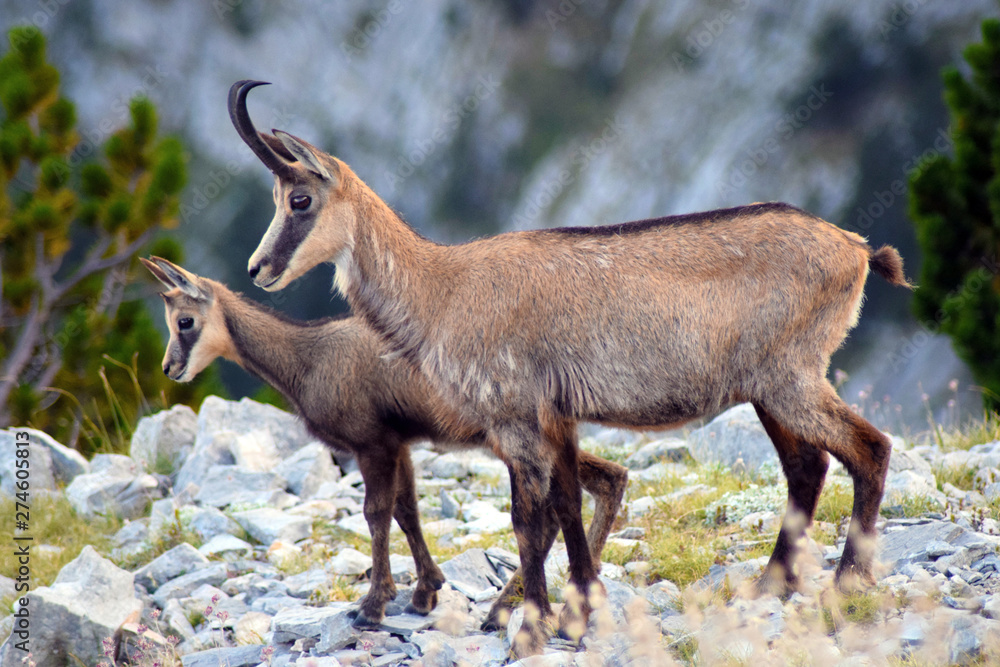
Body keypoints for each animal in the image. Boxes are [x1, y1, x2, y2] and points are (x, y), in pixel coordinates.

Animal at [141, 256, 628, 630]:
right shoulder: (399, 444)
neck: (309, 358)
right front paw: (426, 591)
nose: (168, 369)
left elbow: (376, 513)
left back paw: (515, 608)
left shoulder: (371, 443)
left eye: (185, 321)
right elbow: (407, 509)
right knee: (607, 478)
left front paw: (372, 606)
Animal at [229, 79, 911, 650]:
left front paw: (543, 625)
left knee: (868, 447)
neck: (444, 290)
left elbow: (537, 520)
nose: (257, 269)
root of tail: (856, 248)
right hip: (768, 387)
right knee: (808, 466)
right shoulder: (541, 422)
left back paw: (845, 586)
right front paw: (568, 615)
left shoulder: (522, 416)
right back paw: (773, 584)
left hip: (790, 374)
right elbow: (554, 512)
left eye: (299, 199)